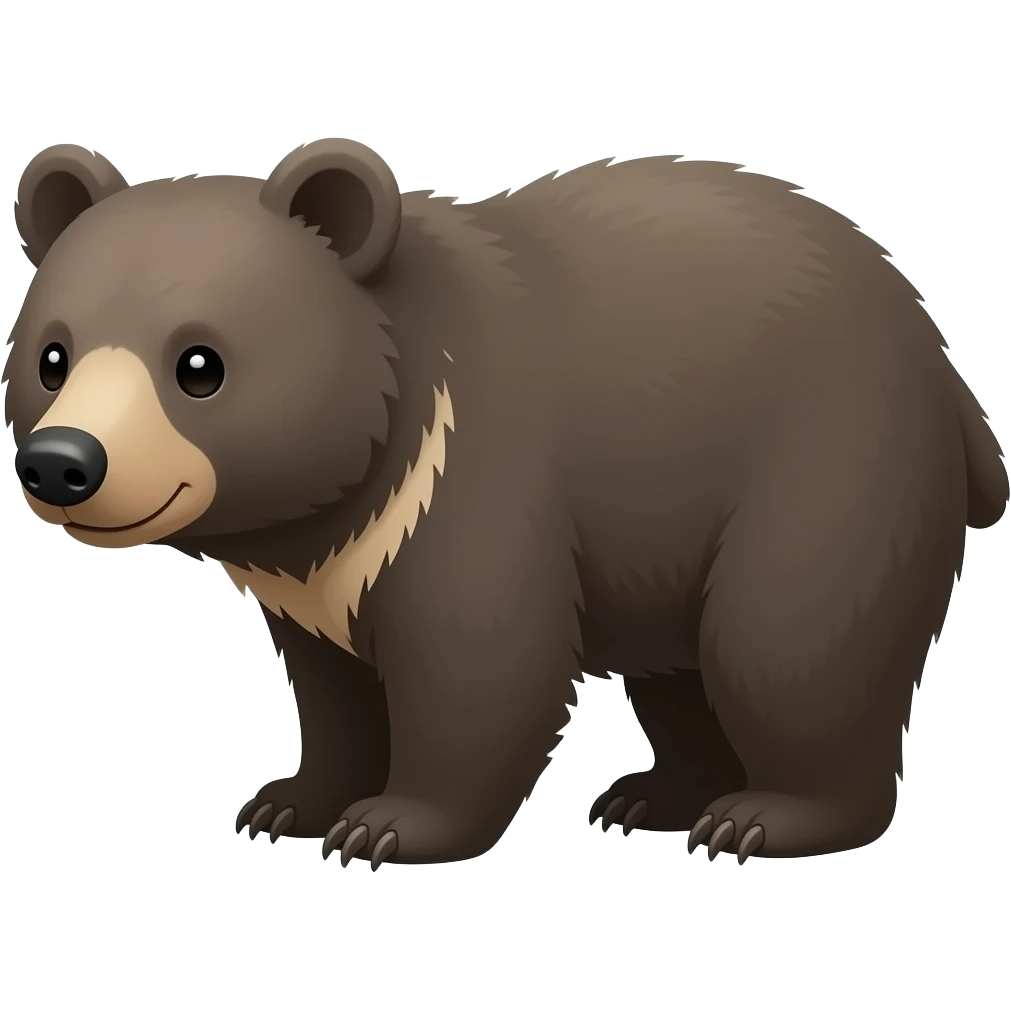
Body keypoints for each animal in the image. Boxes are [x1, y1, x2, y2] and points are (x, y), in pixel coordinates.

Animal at [5, 139, 1008, 871]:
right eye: (52, 354)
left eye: (199, 363)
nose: (63, 461)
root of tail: (941, 360)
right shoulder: (324, 574)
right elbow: (331, 687)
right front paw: (287, 800)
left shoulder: (475, 474)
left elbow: (484, 659)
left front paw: (389, 824)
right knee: (678, 668)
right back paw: (653, 794)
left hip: (830, 458)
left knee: (781, 636)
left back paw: (766, 815)